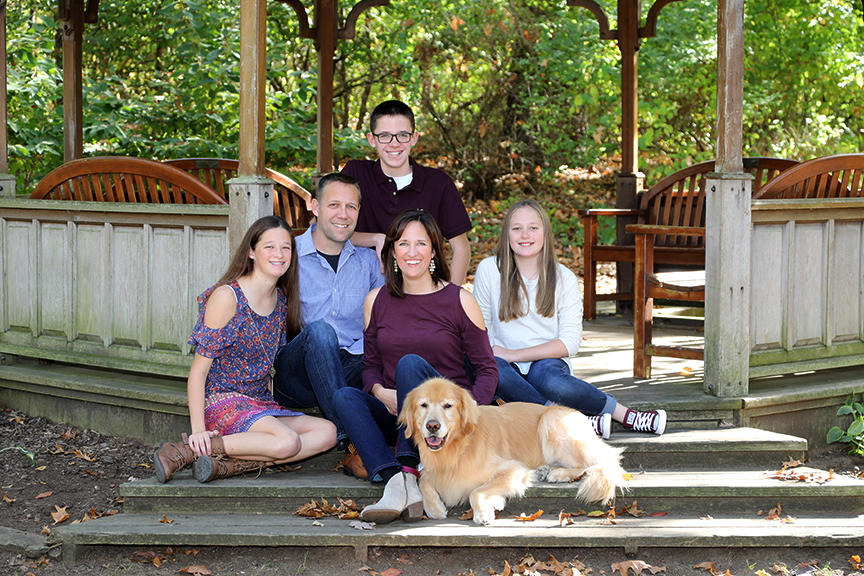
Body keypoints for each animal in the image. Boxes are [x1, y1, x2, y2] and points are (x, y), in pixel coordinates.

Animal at [398, 380, 628, 524]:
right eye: (423, 405)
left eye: (448, 405)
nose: (432, 426)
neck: (459, 447)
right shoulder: (433, 470)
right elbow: (423, 480)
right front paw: (435, 508)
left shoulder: (513, 469)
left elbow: (476, 491)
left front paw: (483, 512)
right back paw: (545, 470)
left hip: (551, 420)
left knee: (588, 464)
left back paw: (560, 473)